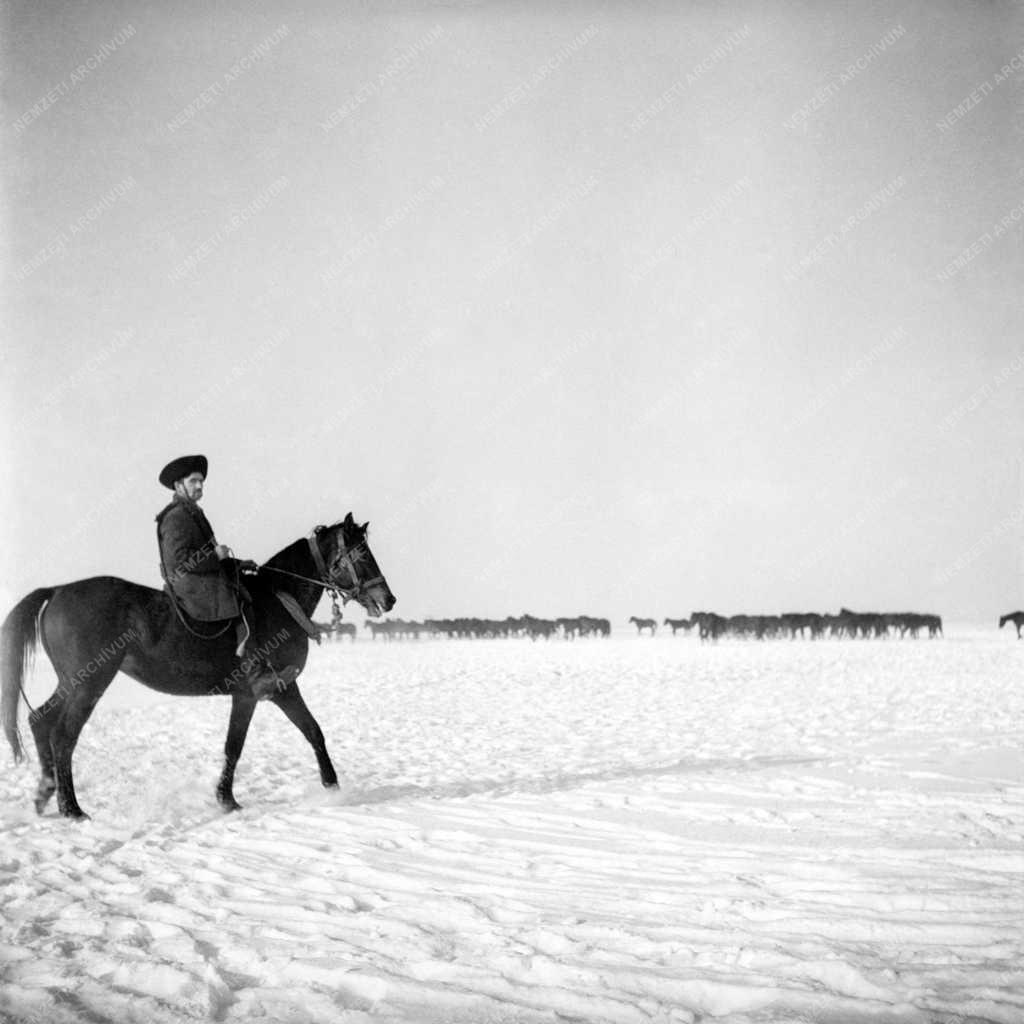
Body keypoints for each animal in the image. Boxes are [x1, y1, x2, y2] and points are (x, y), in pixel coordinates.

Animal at [1, 516, 395, 819]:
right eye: (361, 554)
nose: (388, 599)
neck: (279, 601)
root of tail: (58, 590)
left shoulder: (277, 690)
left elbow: (311, 732)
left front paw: (332, 787)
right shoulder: (256, 692)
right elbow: (237, 745)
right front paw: (227, 800)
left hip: (72, 682)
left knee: (40, 719)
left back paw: (44, 793)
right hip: (90, 683)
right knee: (63, 736)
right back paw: (72, 808)